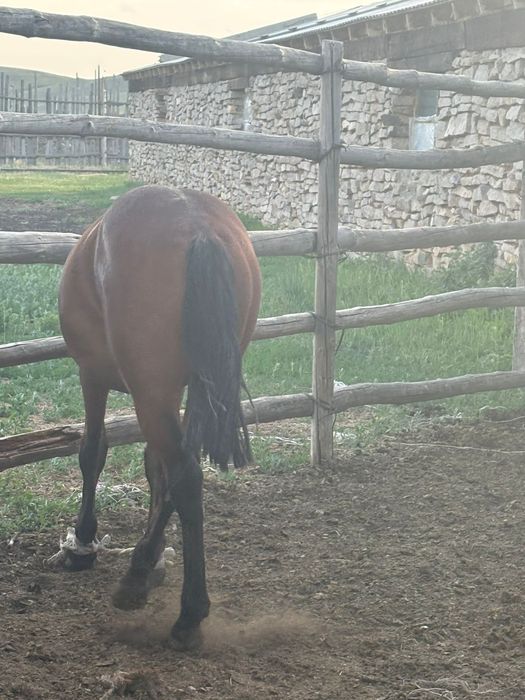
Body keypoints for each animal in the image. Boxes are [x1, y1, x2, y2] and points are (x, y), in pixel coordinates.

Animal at [56, 184, 261, 649]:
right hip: (189, 388)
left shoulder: (91, 374)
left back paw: (186, 614)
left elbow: (92, 452)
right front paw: (151, 559)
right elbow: (154, 469)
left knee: (186, 476)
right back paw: (142, 572)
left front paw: (83, 542)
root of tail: (197, 225)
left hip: (148, 392)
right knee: (181, 470)